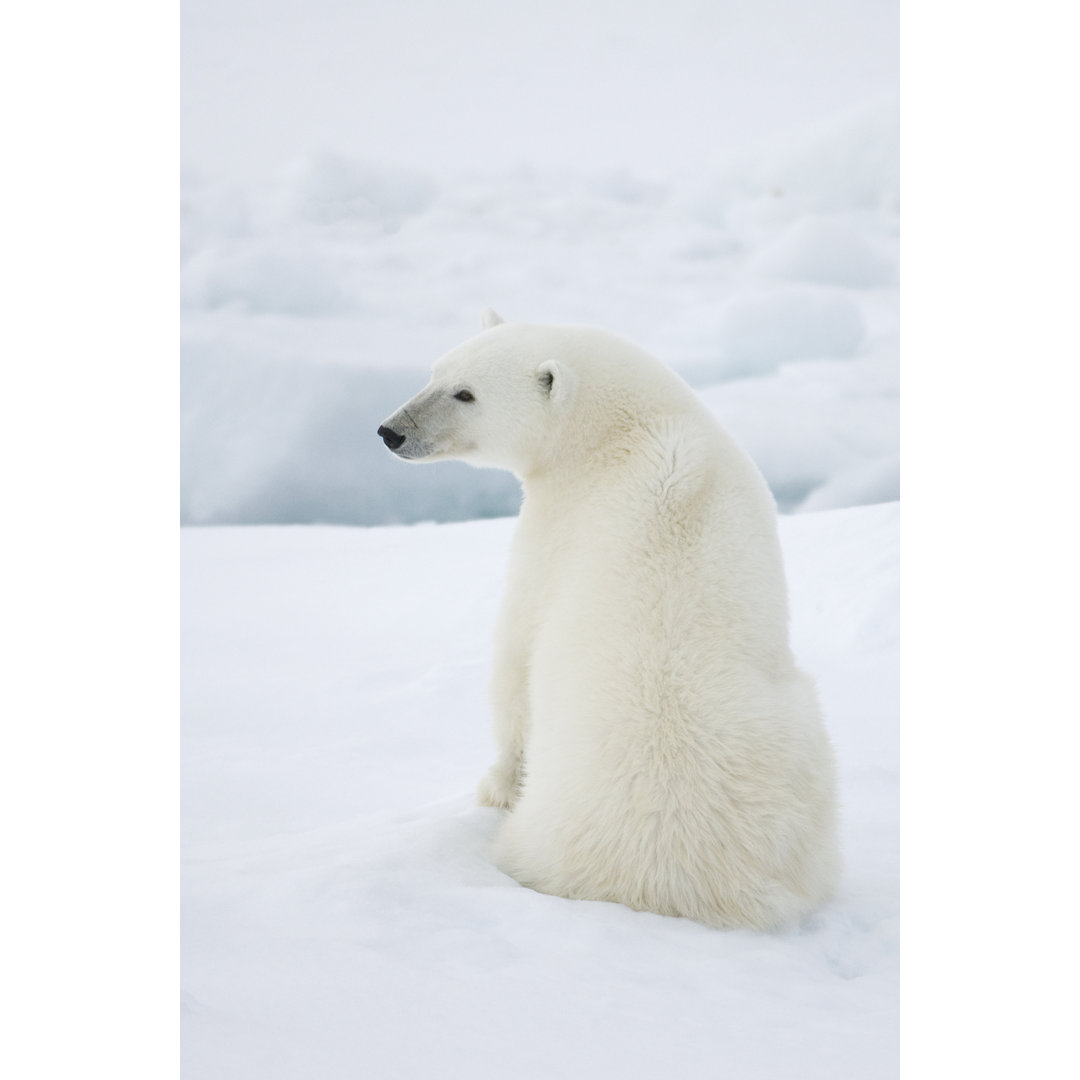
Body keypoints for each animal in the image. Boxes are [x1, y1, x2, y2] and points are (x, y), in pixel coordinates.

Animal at [380, 313, 842, 928]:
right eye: (435, 372)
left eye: (466, 393)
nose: (390, 431)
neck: (625, 431)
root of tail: (678, 882)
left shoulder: (553, 527)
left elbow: (516, 656)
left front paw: (493, 786)